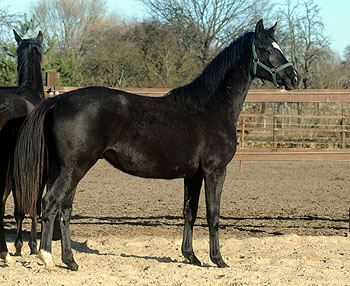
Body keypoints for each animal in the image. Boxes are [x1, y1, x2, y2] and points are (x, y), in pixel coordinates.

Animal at [13, 19, 300, 270]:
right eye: (267, 49)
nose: (294, 77)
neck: (209, 107)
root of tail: (56, 101)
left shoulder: (193, 175)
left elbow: (189, 212)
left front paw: (191, 257)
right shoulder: (215, 171)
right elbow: (213, 214)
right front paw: (218, 260)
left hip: (65, 169)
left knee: (64, 209)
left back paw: (70, 261)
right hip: (74, 168)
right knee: (51, 203)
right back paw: (47, 258)